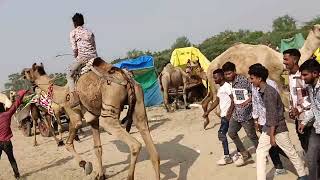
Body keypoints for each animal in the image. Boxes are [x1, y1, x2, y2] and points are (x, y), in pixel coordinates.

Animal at [21, 58, 159, 180]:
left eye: (28, 71)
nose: (22, 73)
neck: (61, 94)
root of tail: (125, 77)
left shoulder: (74, 116)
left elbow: (69, 143)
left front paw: (85, 165)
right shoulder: (93, 120)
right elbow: (97, 148)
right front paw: (100, 175)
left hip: (109, 106)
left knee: (135, 145)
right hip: (139, 103)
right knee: (151, 147)